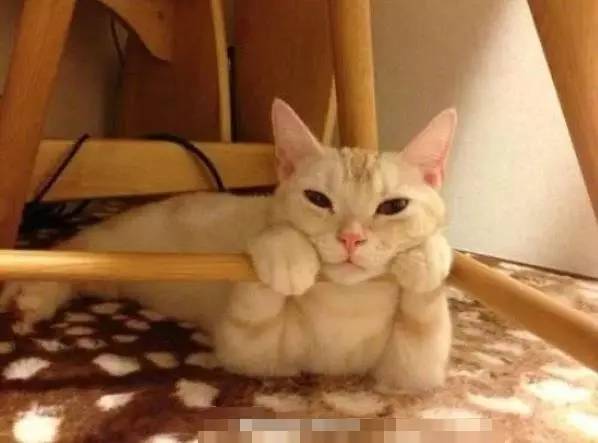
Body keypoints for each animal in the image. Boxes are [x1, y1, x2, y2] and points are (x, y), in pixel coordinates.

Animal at [0, 99, 456, 392]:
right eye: (318, 199)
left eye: (393, 206)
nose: (351, 237)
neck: (348, 305)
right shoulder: (252, 352)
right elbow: (259, 285)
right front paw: (285, 253)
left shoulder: (413, 370)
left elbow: (427, 324)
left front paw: (428, 257)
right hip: (116, 249)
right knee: (70, 251)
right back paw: (30, 296)